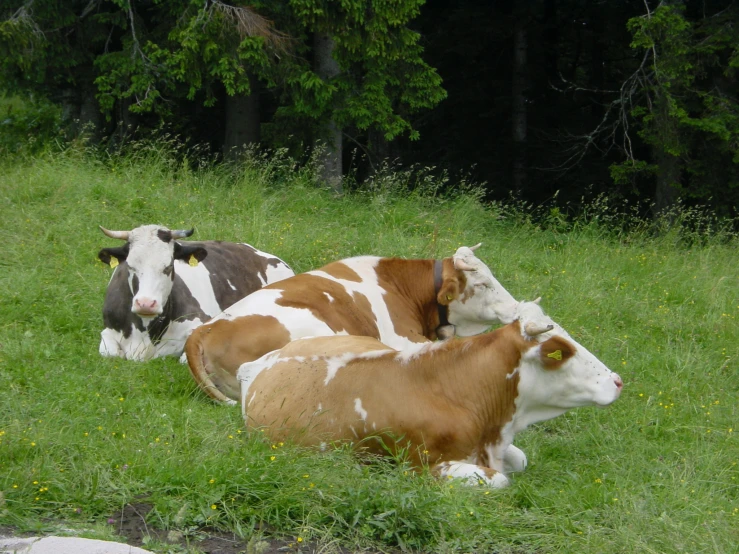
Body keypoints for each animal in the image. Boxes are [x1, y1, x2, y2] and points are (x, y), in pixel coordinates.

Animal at [240, 300, 620, 486]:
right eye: (561, 351)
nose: (617, 380)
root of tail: (260, 363)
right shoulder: (421, 466)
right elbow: (500, 481)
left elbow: (520, 459)